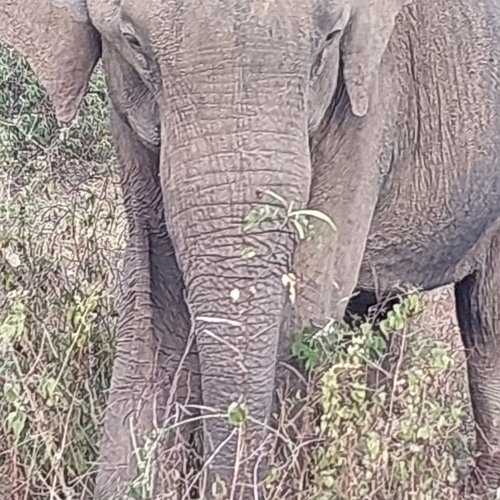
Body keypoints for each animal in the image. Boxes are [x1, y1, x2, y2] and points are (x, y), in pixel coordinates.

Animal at [2, 0, 500, 498]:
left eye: (329, 38)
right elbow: (154, 314)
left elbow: (303, 314)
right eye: (132, 41)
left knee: (485, 329)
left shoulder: (368, 105)